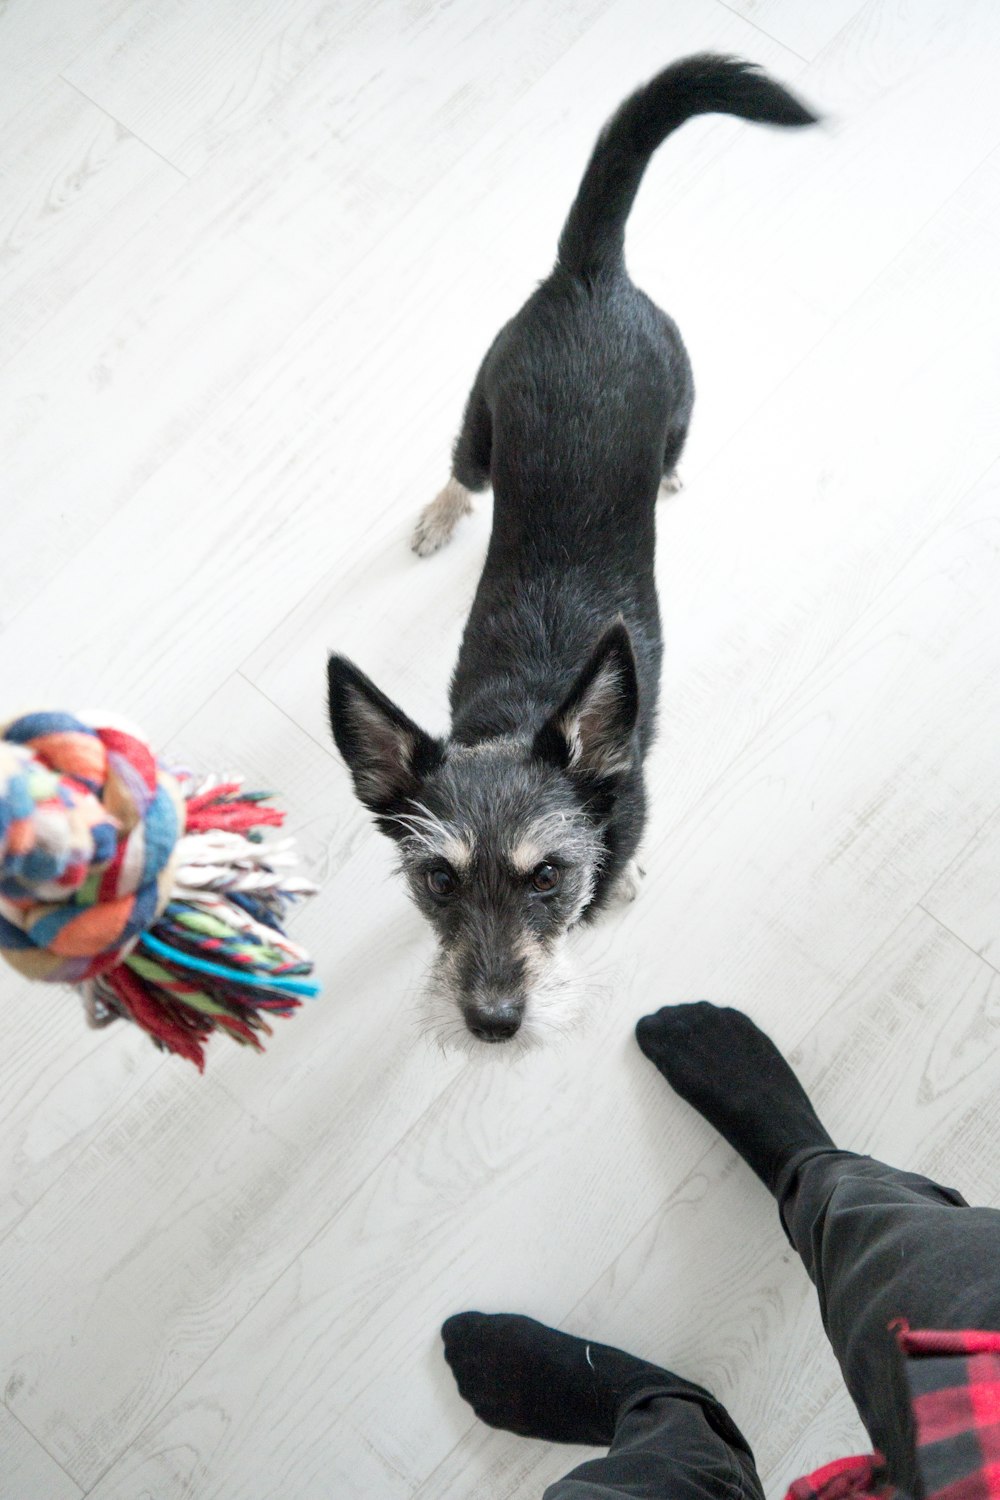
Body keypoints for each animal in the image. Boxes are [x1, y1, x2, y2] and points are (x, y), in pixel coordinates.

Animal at [328, 55, 815, 1044]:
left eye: (547, 875)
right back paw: (439, 515)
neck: (520, 714)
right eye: (436, 880)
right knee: (463, 473)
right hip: (485, 414)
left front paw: (615, 881)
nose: (491, 1022)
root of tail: (590, 272)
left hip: (676, 405)